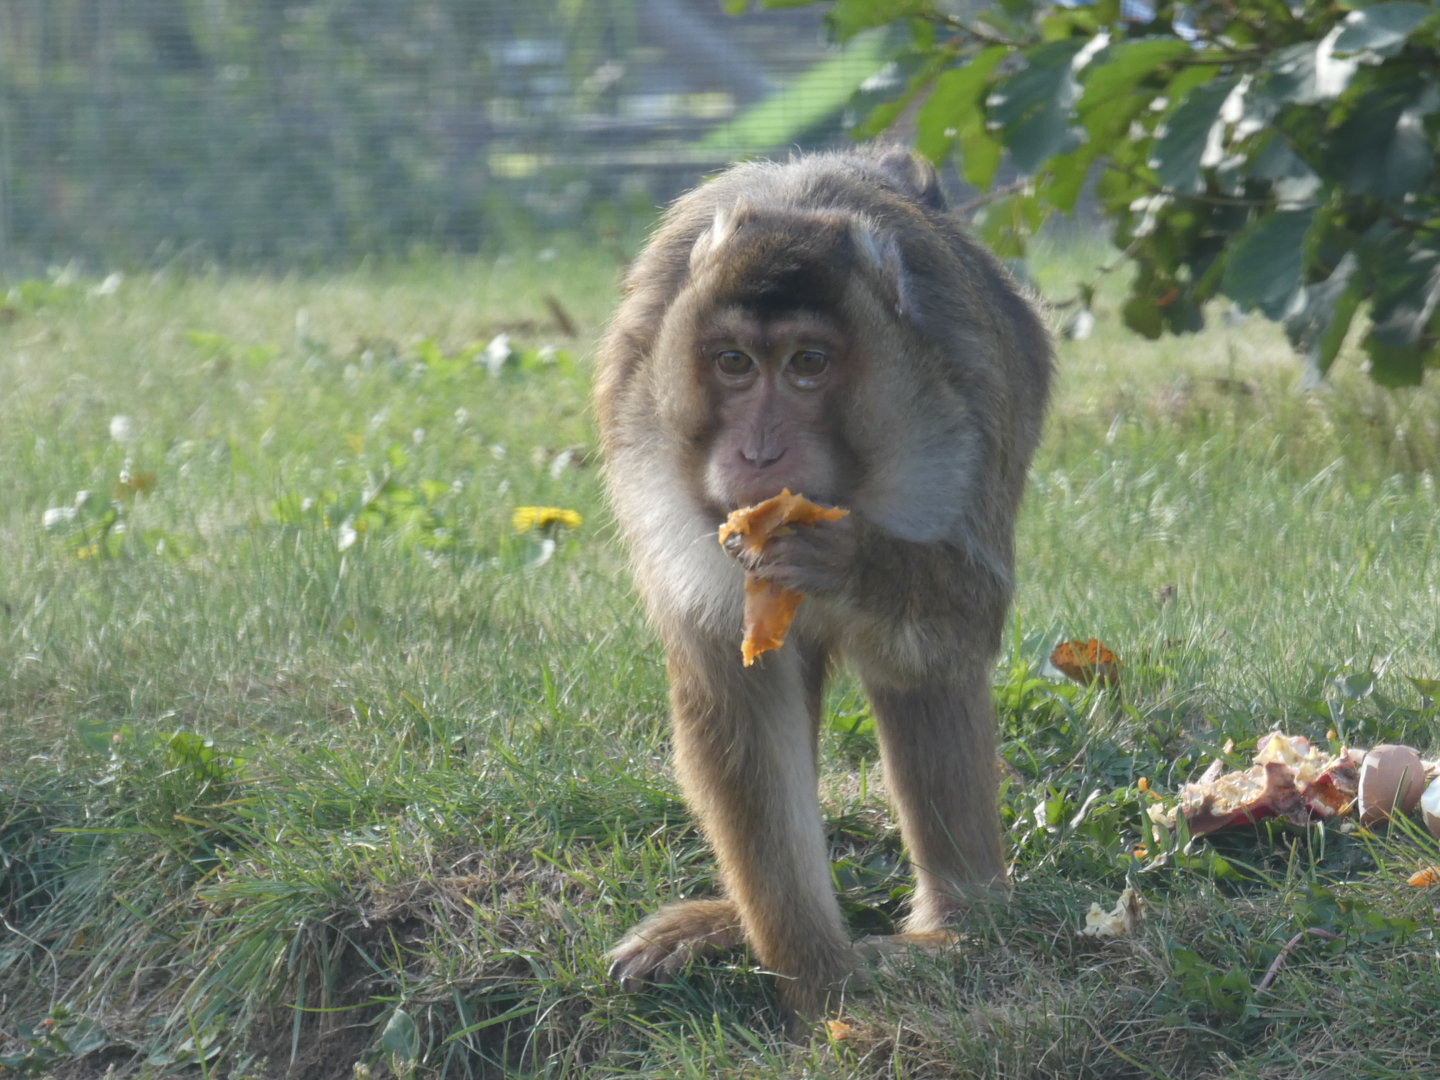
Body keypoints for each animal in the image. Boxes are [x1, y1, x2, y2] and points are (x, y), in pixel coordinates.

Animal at [593, 148, 1052, 1020]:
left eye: (808, 365)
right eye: (734, 363)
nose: (759, 452)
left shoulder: (959, 428)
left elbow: (960, 626)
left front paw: (848, 559)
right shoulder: (660, 469)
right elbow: (738, 690)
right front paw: (817, 976)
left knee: (919, 673)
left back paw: (960, 924)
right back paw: (729, 917)